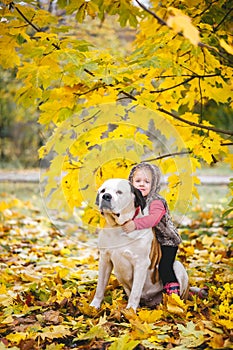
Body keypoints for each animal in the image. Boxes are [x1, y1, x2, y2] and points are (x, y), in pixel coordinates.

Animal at [90, 179, 190, 310]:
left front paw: (130, 311)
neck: (118, 227)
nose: (106, 196)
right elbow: (100, 287)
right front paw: (93, 306)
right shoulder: (104, 260)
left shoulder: (141, 263)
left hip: (177, 267)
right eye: (103, 190)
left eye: (119, 192)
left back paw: (173, 304)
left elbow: (135, 292)